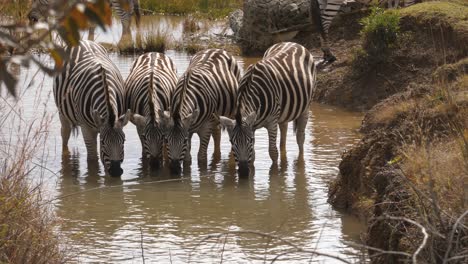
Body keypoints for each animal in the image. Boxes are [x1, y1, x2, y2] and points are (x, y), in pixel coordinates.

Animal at [54, 40, 131, 176]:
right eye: (103, 142)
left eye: (124, 141)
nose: (116, 171)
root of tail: (83, 41)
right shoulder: (86, 128)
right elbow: (92, 159)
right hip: (62, 112)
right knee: (65, 134)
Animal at [218, 41, 314, 177]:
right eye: (231, 141)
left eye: (251, 140)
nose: (243, 173)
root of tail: (291, 42)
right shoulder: (252, 125)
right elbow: (253, 156)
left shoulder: (272, 122)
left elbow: (273, 152)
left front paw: (274, 174)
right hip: (283, 112)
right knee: (283, 132)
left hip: (306, 106)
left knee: (300, 138)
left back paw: (300, 163)